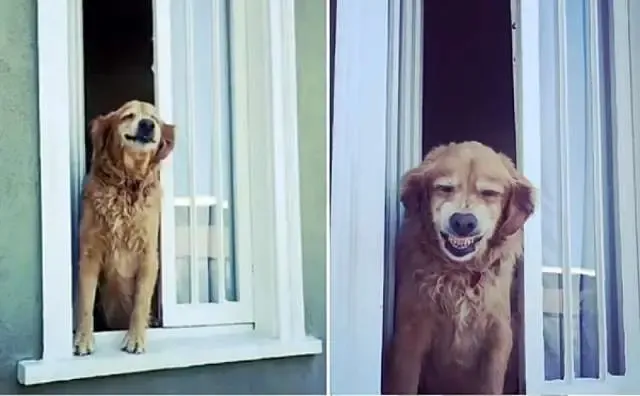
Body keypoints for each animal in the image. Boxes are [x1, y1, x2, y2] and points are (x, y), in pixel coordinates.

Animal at [73, 100, 175, 354]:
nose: (147, 125)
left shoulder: (149, 255)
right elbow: (85, 301)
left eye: (154, 118)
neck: (128, 182)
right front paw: (83, 339)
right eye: (127, 116)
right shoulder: (89, 253)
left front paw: (135, 338)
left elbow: (140, 301)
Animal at [384, 142, 536, 392]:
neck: (461, 274)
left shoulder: (498, 336)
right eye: (445, 188)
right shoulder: (410, 334)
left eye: (489, 193)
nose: (463, 222)